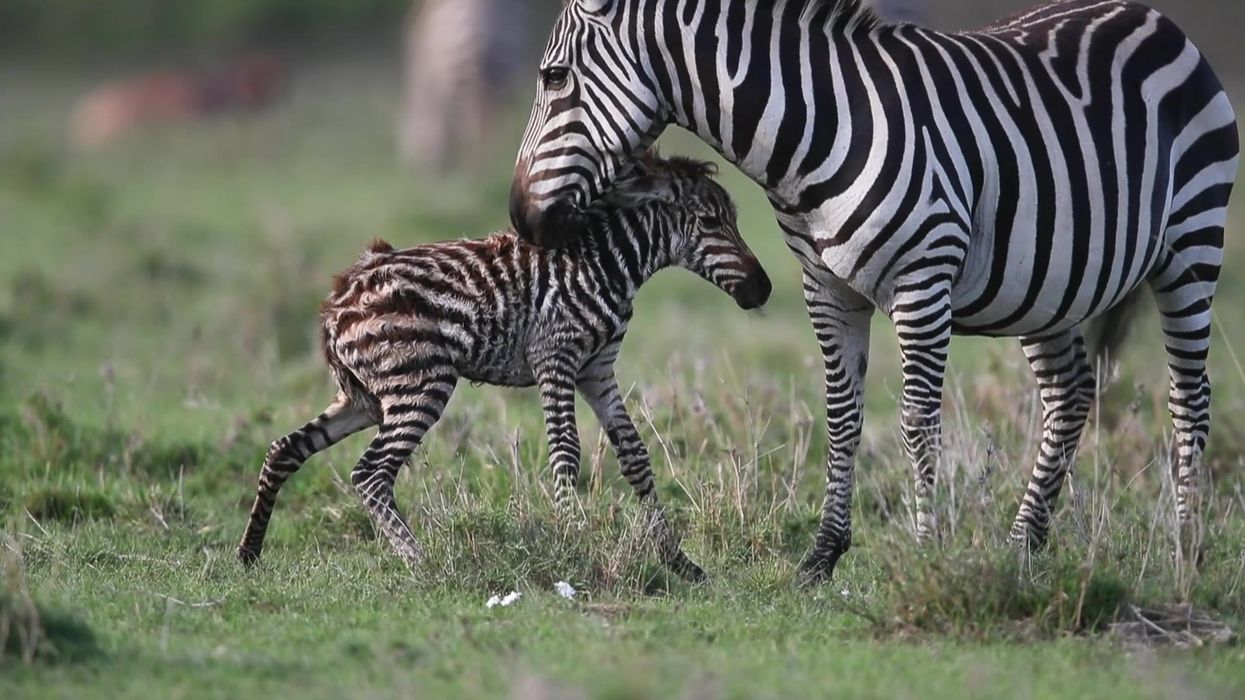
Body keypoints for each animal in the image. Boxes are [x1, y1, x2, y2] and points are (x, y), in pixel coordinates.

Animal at [237, 153, 772, 580]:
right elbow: (566, 450)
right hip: (420, 386)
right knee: (370, 472)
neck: (608, 264)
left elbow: (635, 456)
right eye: (710, 222)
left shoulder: (597, 371)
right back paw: (421, 563)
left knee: (285, 449)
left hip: (364, 398)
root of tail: (336, 301)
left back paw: (249, 552)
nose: (761, 290)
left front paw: (679, 562)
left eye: (731, 219)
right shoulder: (555, 356)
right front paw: (575, 542)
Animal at [508, 0, 1239, 583]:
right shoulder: (826, 288)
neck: (811, 139)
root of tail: (1152, 16)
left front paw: (924, 551)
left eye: (553, 78)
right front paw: (823, 555)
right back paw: (1021, 548)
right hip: (1050, 285)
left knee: (1189, 397)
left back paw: (1186, 552)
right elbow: (841, 416)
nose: (519, 219)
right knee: (1069, 395)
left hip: (1191, 244)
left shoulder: (923, 280)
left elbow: (917, 421)